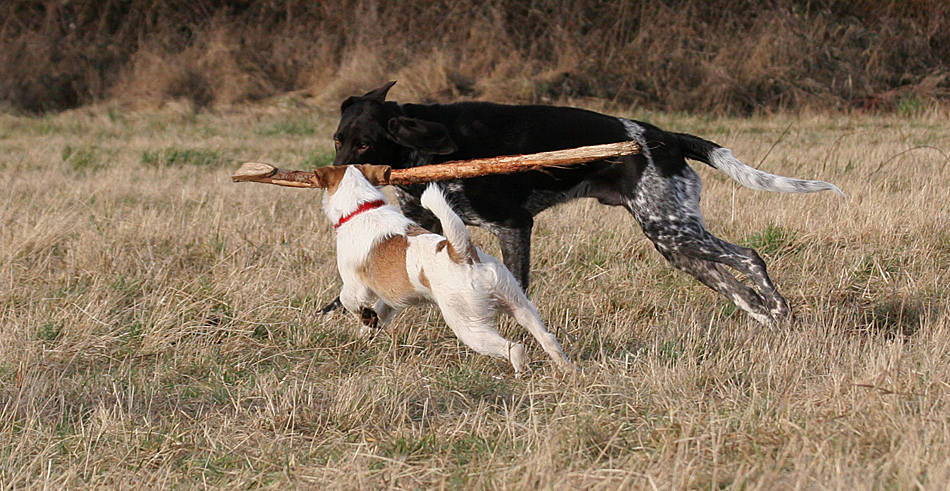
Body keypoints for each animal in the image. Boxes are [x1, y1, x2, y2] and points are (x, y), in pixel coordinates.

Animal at [316, 163, 576, 374]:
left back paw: (522, 372)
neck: (363, 208)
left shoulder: (356, 286)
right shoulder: (390, 299)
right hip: (518, 303)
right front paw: (366, 332)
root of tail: (462, 253)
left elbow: (349, 301)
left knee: (515, 348)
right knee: (547, 337)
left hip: (468, 325)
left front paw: (365, 319)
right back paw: (569, 370)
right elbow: (379, 312)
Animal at [326, 82, 840, 324]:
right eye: (337, 139)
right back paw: (771, 322)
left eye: (365, 144)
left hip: (672, 229)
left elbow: (518, 289)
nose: (334, 178)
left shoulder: (513, 224)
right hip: (675, 242)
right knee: (739, 288)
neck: (424, 150)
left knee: (751, 258)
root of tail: (668, 137)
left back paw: (780, 312)